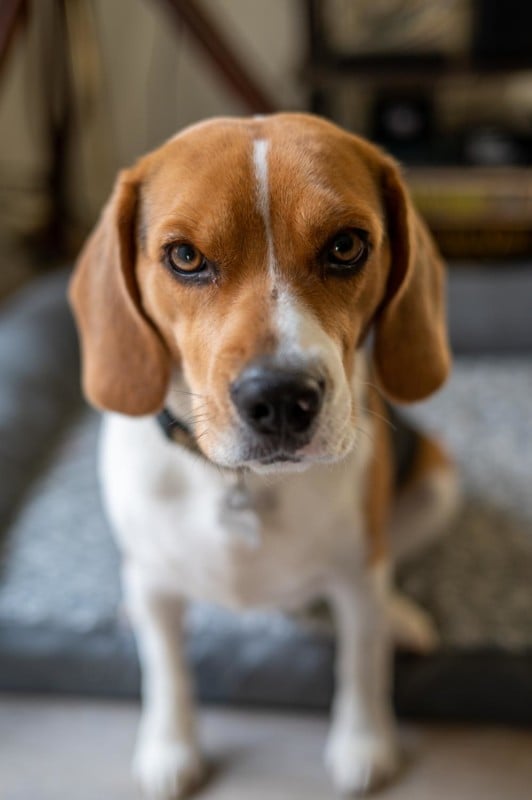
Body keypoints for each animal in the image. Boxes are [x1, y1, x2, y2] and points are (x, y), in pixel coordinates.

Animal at [68, 114, 460, 800]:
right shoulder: (156, 587)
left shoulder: (358, 575)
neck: (238, 482)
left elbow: (362, 662)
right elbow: (166, 670)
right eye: (185, 257)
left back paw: (399, 617)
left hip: (438, 488)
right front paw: (170, 748)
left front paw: (364, 742)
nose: (278, 399)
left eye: (346, 246)